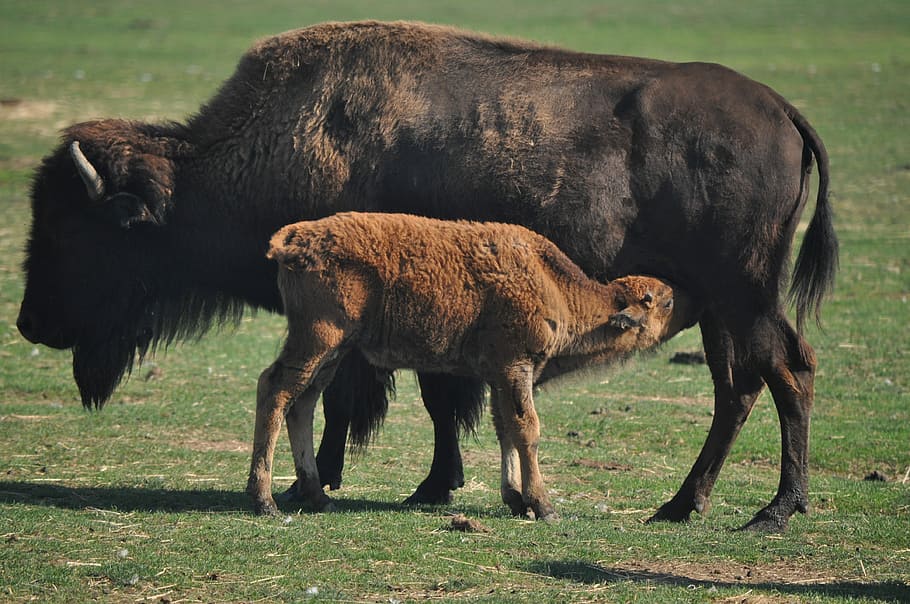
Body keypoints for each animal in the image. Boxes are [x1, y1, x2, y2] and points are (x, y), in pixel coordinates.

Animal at [17, 21, 836, 531]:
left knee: (787, 370)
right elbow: (428, 399)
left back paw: (773, 511)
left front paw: (361, 482)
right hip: (722, 307)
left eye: (76, 228)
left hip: (744, 295)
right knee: (739, 388)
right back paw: (681, 506)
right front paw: (429, 484)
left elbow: (377, 397)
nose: (29, 322)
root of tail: (783, 111)